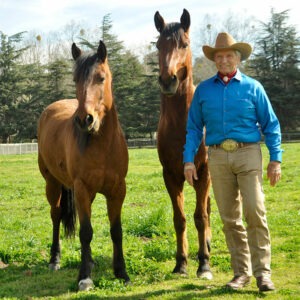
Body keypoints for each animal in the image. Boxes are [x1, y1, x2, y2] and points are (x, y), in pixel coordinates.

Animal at [37, 39, 129, 290]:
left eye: (101, 77)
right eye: (76, 78)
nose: (84, 119)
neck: (103, 145)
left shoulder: (117, 190)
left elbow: (116, 230)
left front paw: (121, 273)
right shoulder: (81, 189)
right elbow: (86, 232)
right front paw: (85, 277)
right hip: (52, 184)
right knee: (56, 215)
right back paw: (55, 260)